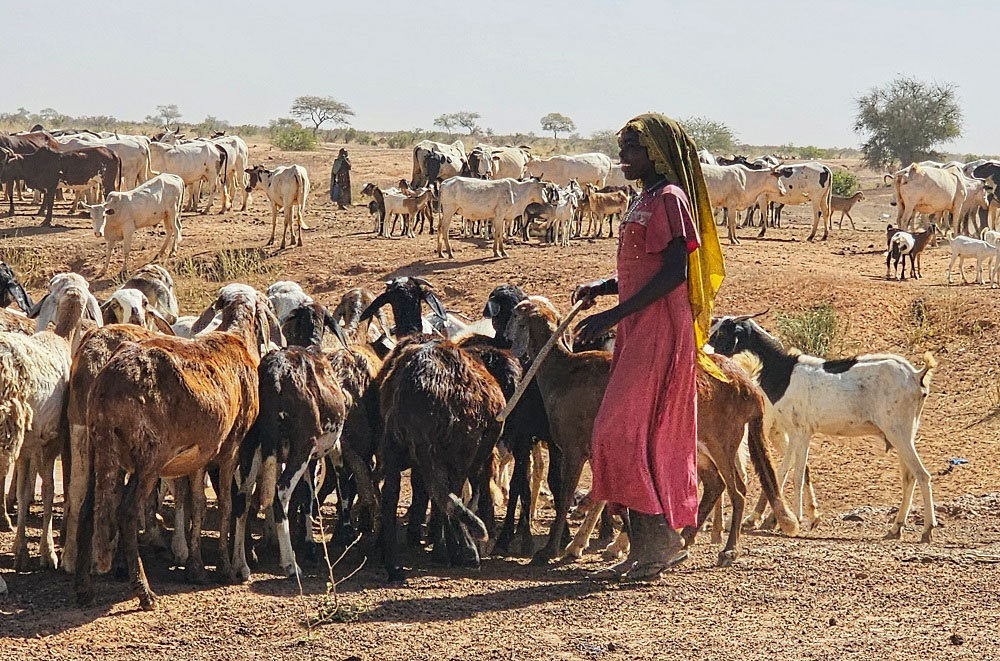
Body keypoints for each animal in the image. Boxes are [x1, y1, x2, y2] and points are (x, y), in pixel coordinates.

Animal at [712, 314, 936, 540]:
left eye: (722, 332)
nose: (709, 352)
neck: (784, 372)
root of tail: (916, 376)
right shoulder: (794, 433)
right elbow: (783, 471)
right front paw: (783, 520)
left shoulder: (802, 432)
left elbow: (797, 474)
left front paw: (797, 518)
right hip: (902, 435)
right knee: (909, 477)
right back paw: (896, 528)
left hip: (899, 433)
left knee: (921, 474)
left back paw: (927, 529)